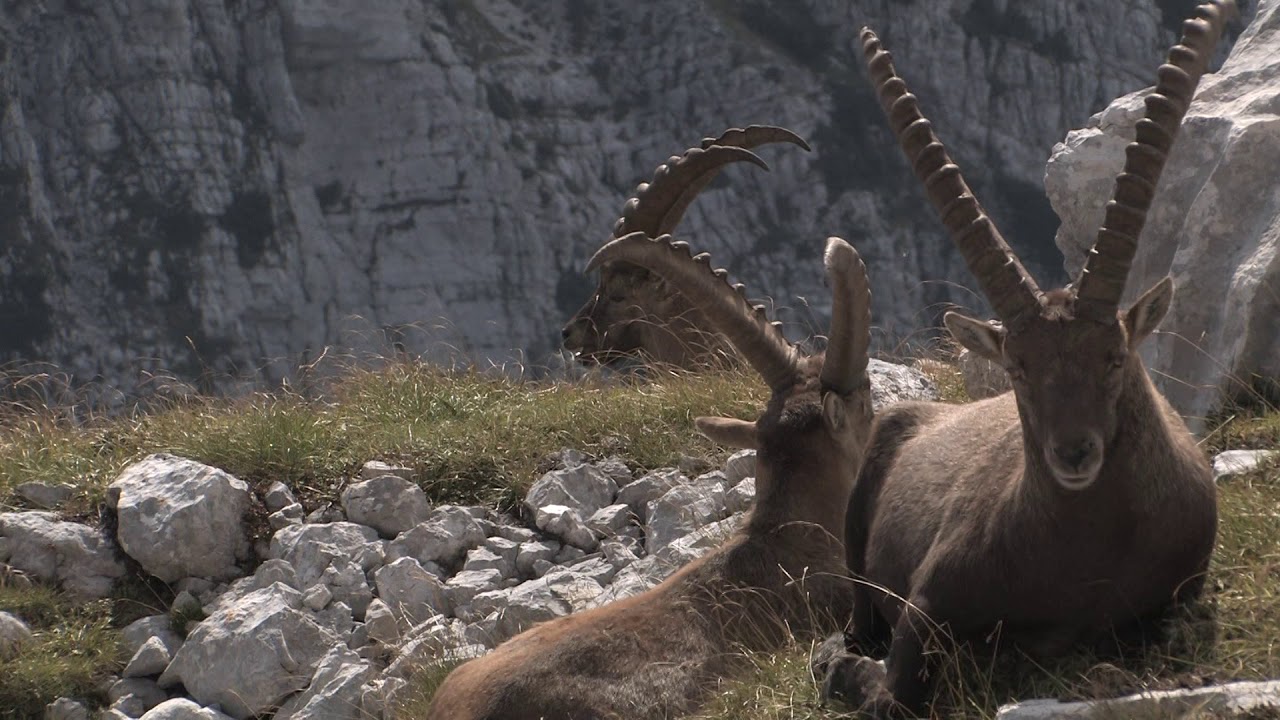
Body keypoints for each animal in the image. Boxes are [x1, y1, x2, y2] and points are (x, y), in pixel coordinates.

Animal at [820, 2, 1234, 717]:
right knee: (858, 617)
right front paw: (844, 669)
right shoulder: (926, 603)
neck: (1081, 554)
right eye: (1017, 368)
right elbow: (894, 692)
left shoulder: (1170, 602)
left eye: (1115, 356)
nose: (1073, 453)